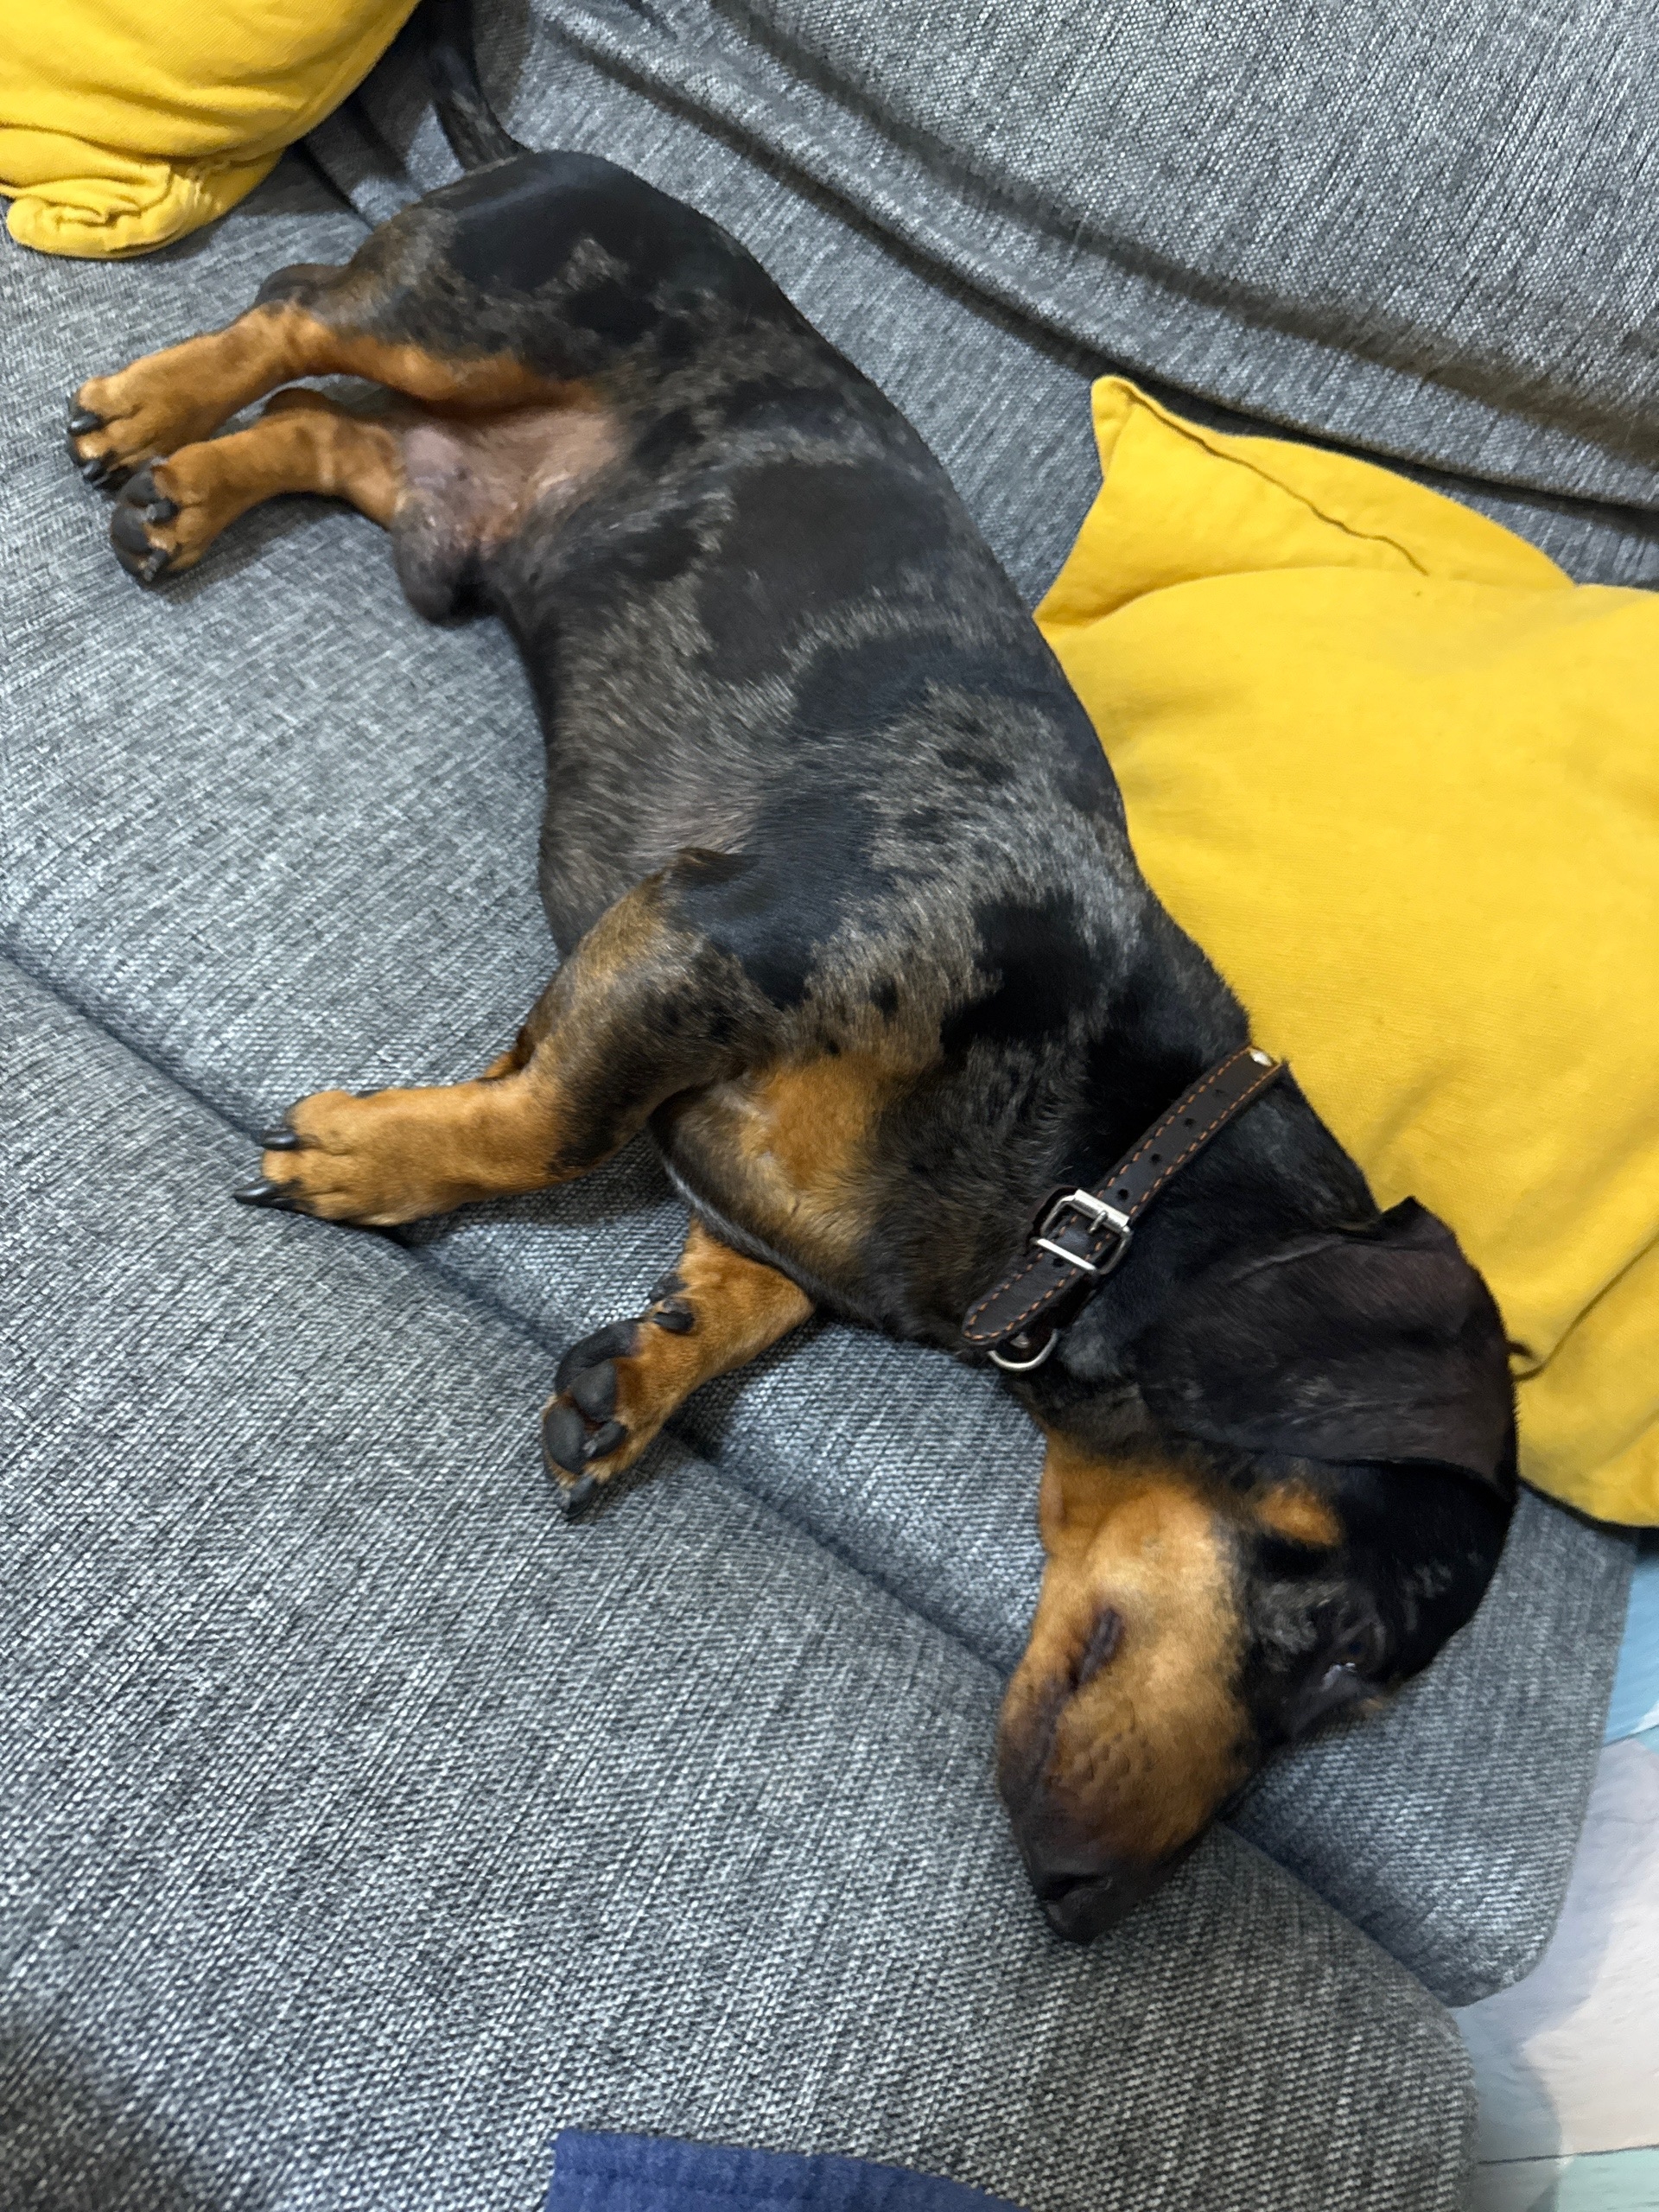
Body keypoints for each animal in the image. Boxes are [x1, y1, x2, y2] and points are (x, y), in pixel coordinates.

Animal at [64, 1, 1517, 1940]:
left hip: (451, 504)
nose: (1087, 1909)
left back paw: (193, 486)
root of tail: (570, 157)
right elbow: (549, 1121)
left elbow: (730, 1274)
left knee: (322, 435)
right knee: (299, 312)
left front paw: (642, 1373)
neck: (1093, 1166)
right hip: (481, 302)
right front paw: (374, 1158)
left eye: (1360, 1685)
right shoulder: (712, 936)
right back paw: (150, 400)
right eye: (1341, 1633)